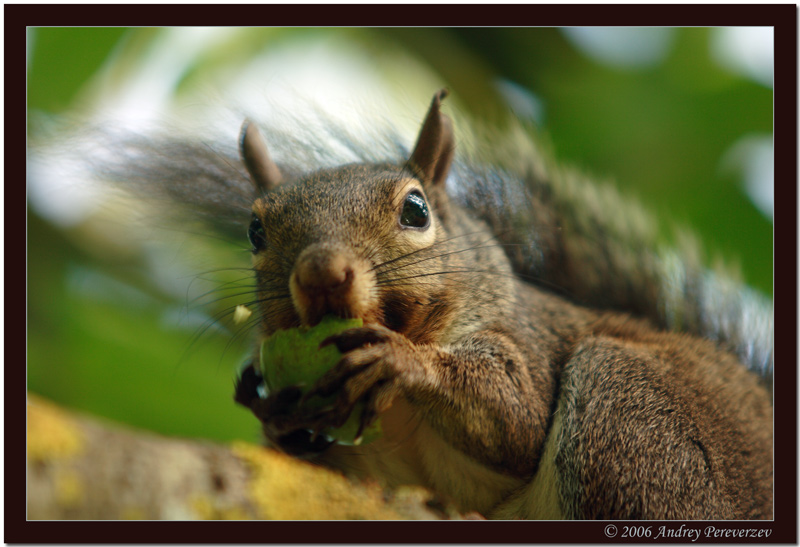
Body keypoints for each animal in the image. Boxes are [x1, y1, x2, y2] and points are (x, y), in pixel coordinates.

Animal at [78, 89, 772, 520]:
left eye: (416, 209)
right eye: (254, 230)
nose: (323, 271)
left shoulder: (527, 340)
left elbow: (517, 417)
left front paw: (404, 362)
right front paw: (273, 411)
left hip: (637, 421)